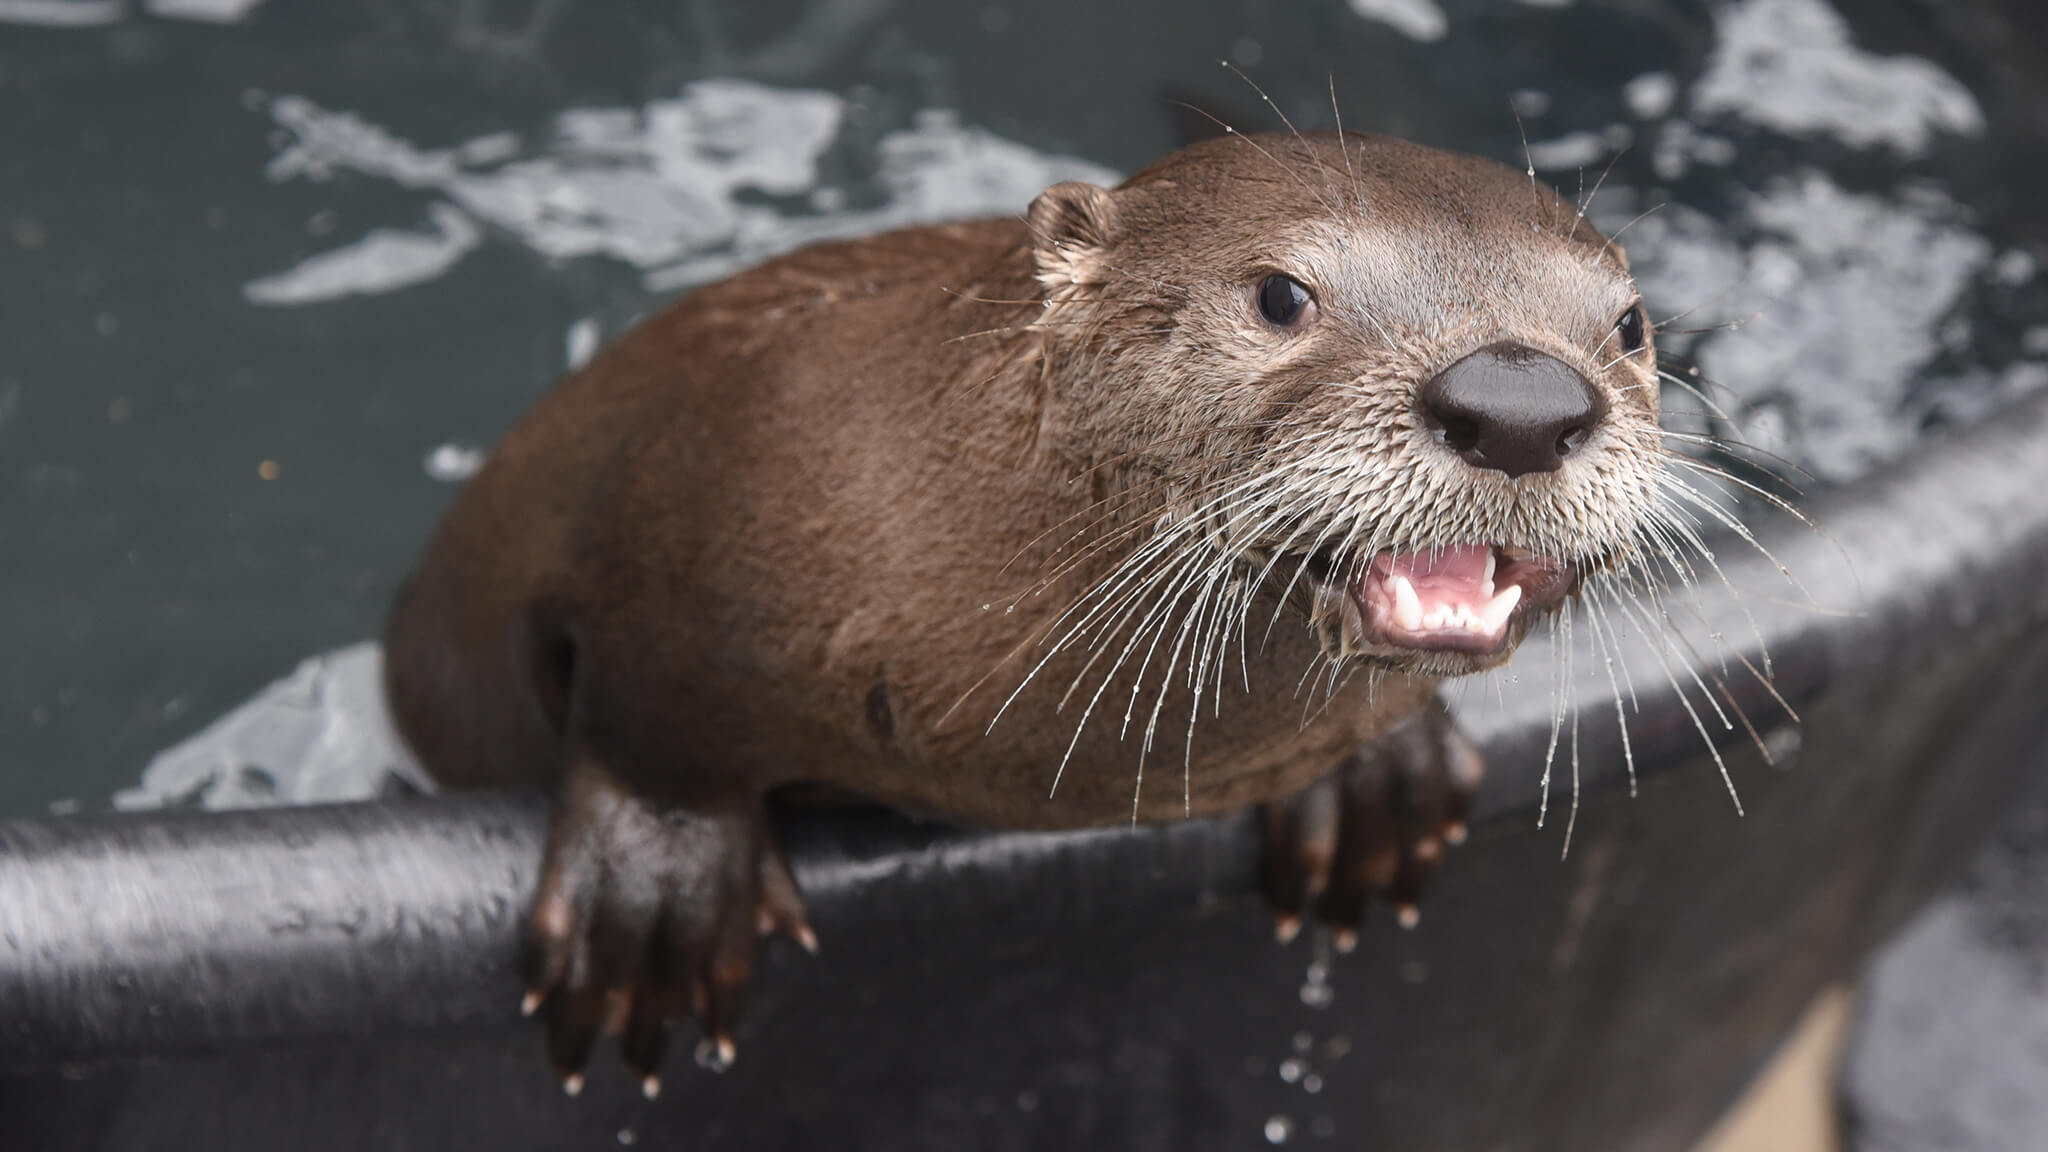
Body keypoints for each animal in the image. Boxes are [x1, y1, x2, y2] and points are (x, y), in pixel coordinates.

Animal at [382, 129, 1665, 1094]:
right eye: (1279, 293)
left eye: (1630, 321)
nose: (1517, 397)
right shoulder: (678, 535)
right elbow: (648, 719)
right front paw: (654, 903)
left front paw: (1378, 787)